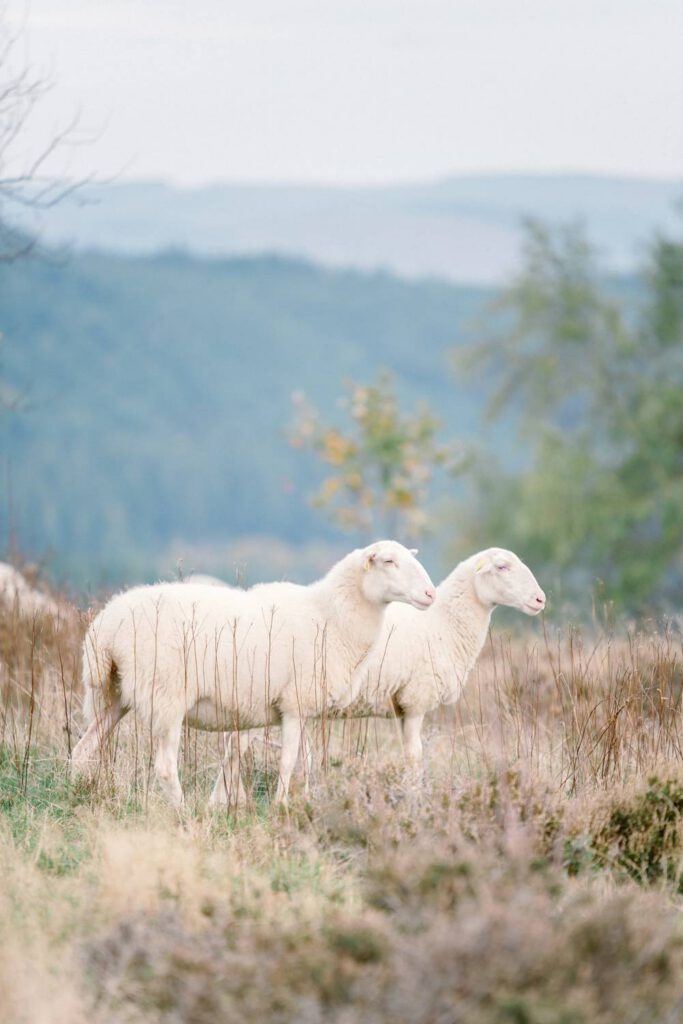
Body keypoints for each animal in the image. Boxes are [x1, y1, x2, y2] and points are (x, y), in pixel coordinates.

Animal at [71, 540, 435, 806]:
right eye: (388, 561)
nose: (431, 594)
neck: (330, 616)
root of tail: (105, 626)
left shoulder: (301, 707)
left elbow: (305, 761)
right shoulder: (295, 704)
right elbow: (288, 761)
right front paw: (280, 807)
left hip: (115, 695)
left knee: (83, 748)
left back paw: (76, 793)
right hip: (166, 696)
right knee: (163, 766)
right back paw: (182, 813)